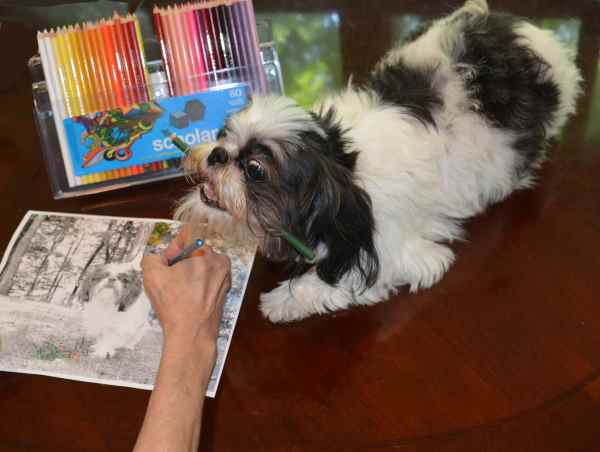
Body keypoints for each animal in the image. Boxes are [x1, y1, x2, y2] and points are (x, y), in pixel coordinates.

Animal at [175, 0, 580, 324]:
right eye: (223, 133)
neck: (343, 167)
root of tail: (531, 36)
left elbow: (334, 276)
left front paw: (282, 301)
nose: (217, 154)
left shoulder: (388, 246)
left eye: (255, 169)